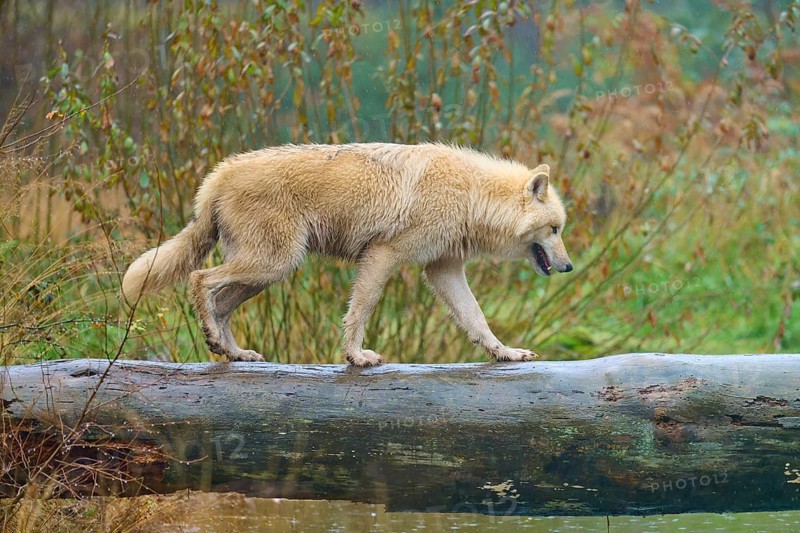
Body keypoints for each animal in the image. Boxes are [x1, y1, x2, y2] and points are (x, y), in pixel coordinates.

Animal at [122, 143, 573, 366]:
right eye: (555, 229)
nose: (569, 266)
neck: (472, 195)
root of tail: (217, 174)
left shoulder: (442, 270)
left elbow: (477, 320)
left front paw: (505, 353)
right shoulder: (382, 256)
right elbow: (361, 310)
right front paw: (356, 357)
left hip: (269, 272)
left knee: (221, 303)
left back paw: (232, 352)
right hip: (273, 264)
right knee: (200, 280)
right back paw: (216, 341)